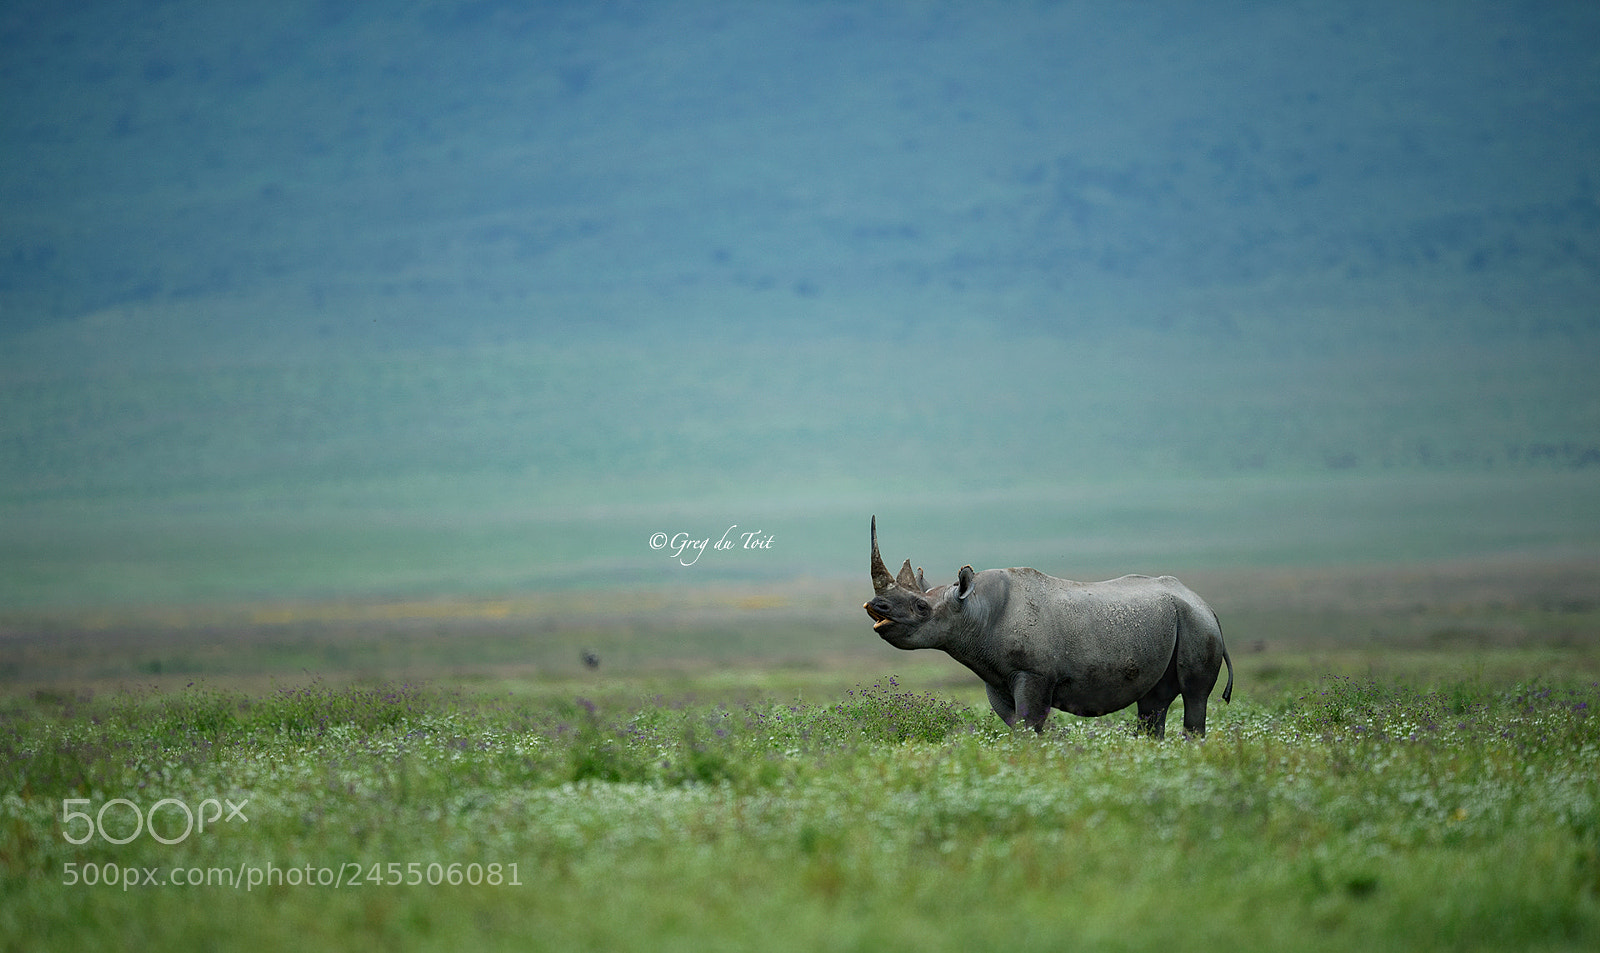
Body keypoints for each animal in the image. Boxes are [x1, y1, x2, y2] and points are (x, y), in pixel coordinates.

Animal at [863, 517, 1233, 737]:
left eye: (921, 607)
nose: (875, 606)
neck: (973, 609)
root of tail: (1207, 606)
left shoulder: (1034, 672)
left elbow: (1030, 723)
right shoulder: (996, 676)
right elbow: (1018, 725)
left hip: (1198, 624)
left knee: (1195, 695)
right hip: (1177, 619)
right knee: (1153, 703)